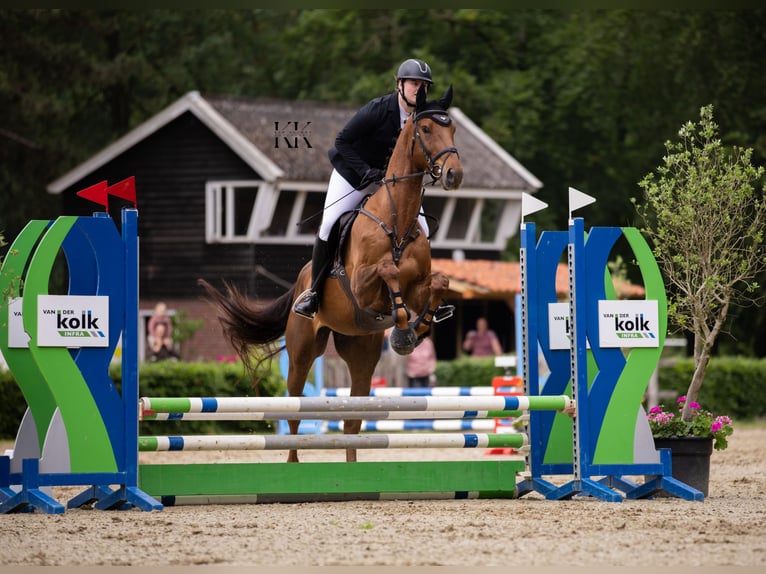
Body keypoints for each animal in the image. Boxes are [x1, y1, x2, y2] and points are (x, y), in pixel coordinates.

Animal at [201, 84, 464, 464]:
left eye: (453, 128)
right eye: (426, 129)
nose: (454, 175)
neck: (396, 221)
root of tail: (300, 280)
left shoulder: (418, 286)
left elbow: (437, 284)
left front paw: (417, 329)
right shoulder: (362, 285)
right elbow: (387, 270)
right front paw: (403, 331)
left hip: (362, 353)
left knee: (352, 420)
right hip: (302, 352)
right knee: (294, 413)